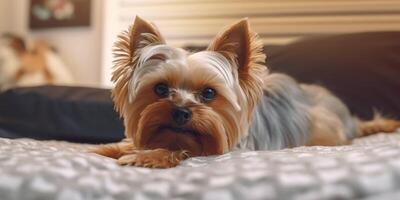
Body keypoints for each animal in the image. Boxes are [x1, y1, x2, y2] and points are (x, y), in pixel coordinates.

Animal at [92, 16, 400, 168]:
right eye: (160, 89)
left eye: (208, 94)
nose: (180, 112)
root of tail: (351, 120)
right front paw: (112, 147)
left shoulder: (223, 147)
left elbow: (185, 149)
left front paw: (147, 156)